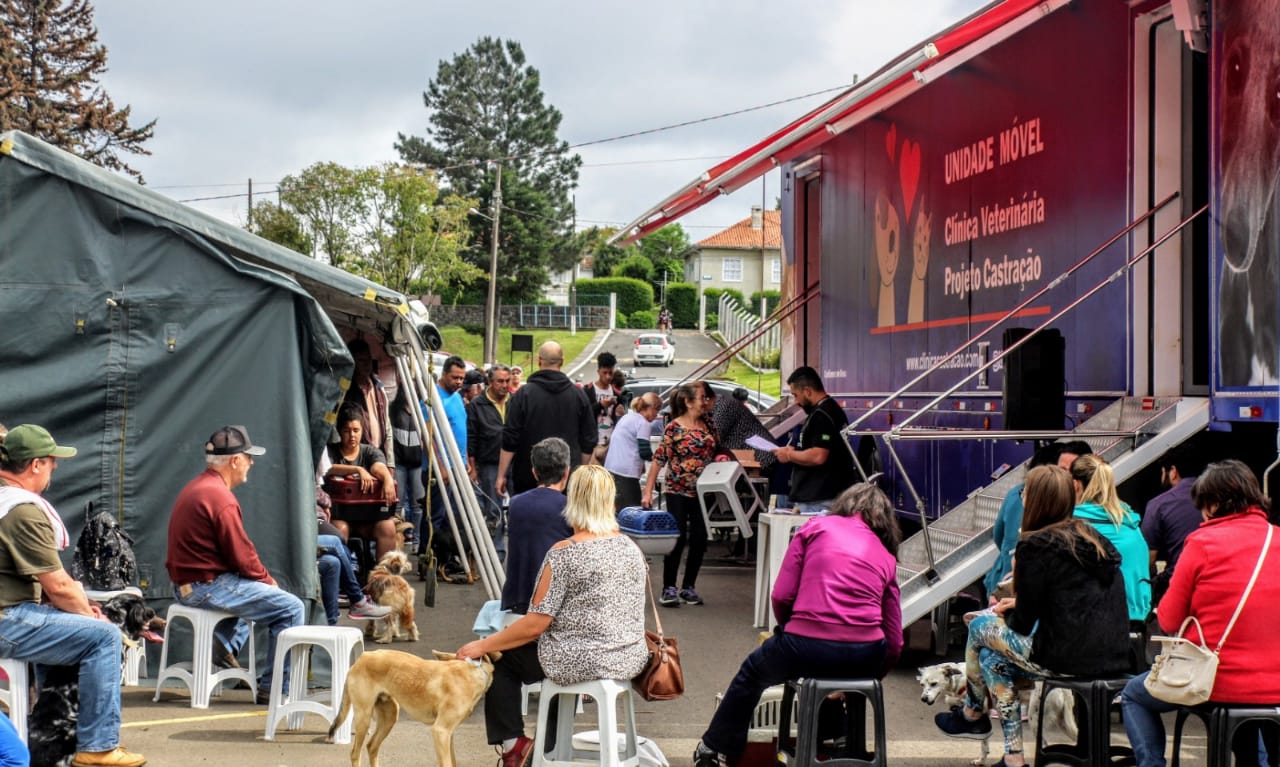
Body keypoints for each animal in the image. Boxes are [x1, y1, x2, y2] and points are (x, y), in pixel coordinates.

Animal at [327, 650, 496, 767]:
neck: (475, 671)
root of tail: (363, 657)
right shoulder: (441, 731)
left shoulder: (449, 734)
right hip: (364, 717)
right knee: (355, 754)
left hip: (389, 716)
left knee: (372, 746)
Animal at [921, 660, 1080, 763]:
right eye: (922, 684)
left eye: (934, 683)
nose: (923, 699)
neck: (962, 680)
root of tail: (1062, 688)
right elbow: (984, 741)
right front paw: (982, 759)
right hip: (1063, 722)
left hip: (1035, 721)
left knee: (1045, 745)